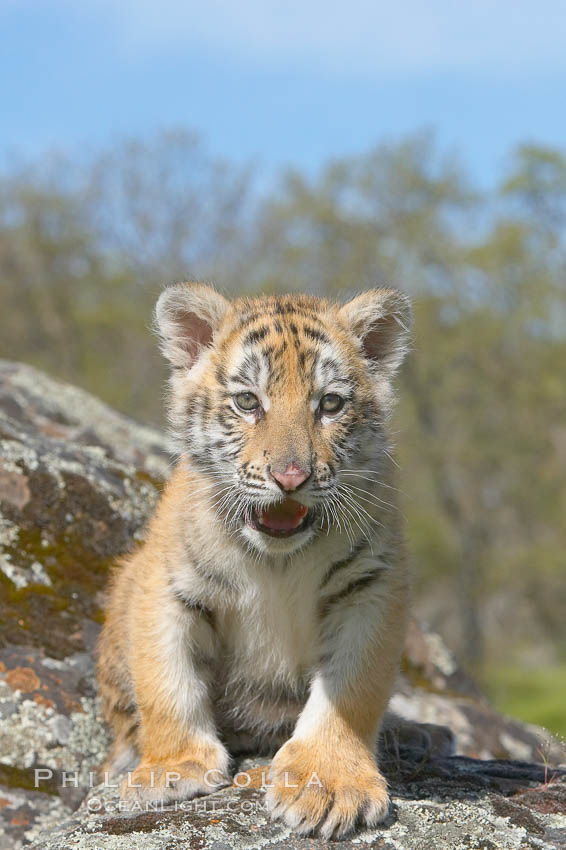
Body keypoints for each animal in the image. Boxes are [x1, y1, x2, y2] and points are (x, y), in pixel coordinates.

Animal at [97, 281, 412, 839]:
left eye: (330, 404)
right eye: (248, 402)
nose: (290, 477)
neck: (277, 561)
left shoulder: (370, 587)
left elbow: (351, 691)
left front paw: (328, 784)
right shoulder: (165, 584)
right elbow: (166, 681)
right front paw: (173, 769)